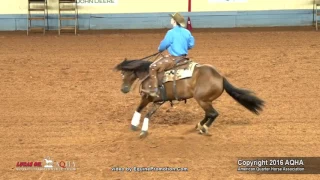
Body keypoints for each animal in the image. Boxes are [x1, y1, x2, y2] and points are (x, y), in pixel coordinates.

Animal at [114, 52, 264, 138]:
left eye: (123, 74)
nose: (123, 89)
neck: (149, 75)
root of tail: (220, 77)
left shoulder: (147, 97)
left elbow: (139, 109)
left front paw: (134, 125)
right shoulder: (158, 101)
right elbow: (148, 114)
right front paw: (144, 131)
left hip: (202, 100)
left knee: (213, 114)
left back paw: (204, 128)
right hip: (205, 100)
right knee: (209, 114)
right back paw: (199, 126)